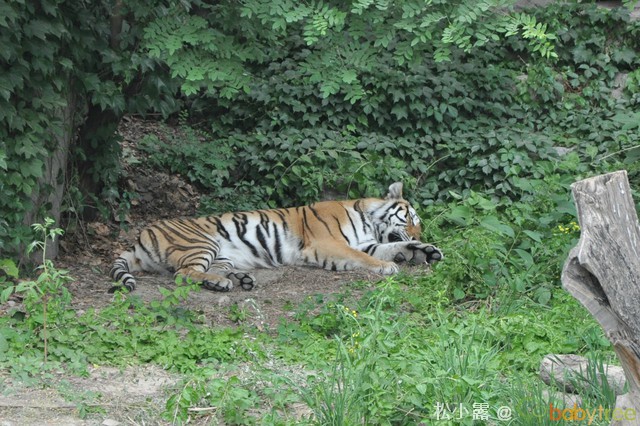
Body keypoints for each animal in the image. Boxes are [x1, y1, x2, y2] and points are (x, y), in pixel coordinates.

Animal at [109, 181, 440, 292]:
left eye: (419, 225)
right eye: (412, 219)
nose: (421, 231)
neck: (370, 222)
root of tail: (139, 237)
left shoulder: (367, 242)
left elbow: (393, 246)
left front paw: (423, 250)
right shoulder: (329, 243)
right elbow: (362, 257)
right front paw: (389, 265)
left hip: (222, 254)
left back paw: (238, 280)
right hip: (202, 243)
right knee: (183, 273)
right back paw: (222, 283)